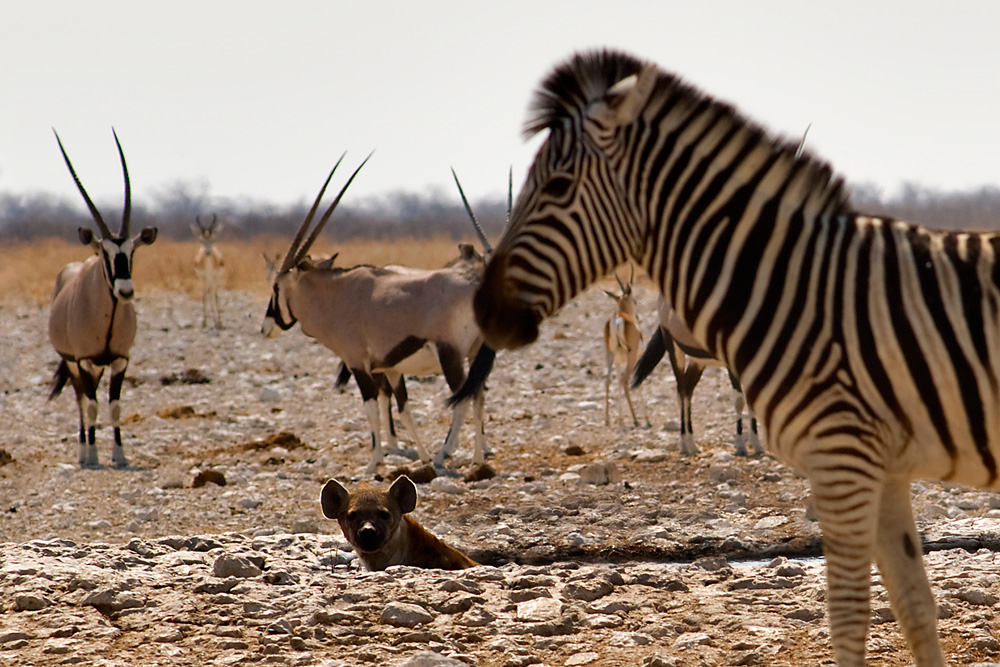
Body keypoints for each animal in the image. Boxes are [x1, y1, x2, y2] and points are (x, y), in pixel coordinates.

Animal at [47, 128, 158, 468]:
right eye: (105, 254)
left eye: (132, 251)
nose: (125, 291)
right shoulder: (83, 359)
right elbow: (92, 406)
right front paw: (94, 455)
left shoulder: (120, 359)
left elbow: (115, 407)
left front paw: (119, 455)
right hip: (74, 364)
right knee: (82, 400)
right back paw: (84, 450)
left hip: (95, 366)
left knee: (89, 397)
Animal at [260, 155, 490, 474]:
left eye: (275, 287)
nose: (265, 327)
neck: (336, 295)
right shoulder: (389, 368)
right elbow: (404, 411)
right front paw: (421, 457)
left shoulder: (357, 362)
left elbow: (369, 408)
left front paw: (373, 463)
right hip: (473, 351)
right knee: (477, 396)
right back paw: (477, 459)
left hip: (450, 355)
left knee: (463, 399)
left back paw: (450, 455)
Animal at [472, 49, 996, 664]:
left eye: (556, 185)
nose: (484, 309)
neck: (788, 283)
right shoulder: (863, 457)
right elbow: (899, 606)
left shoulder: (851, 455)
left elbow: (873, 611)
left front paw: (746, 441)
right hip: (686, 353)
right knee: (678, 388)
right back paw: (684, 439)